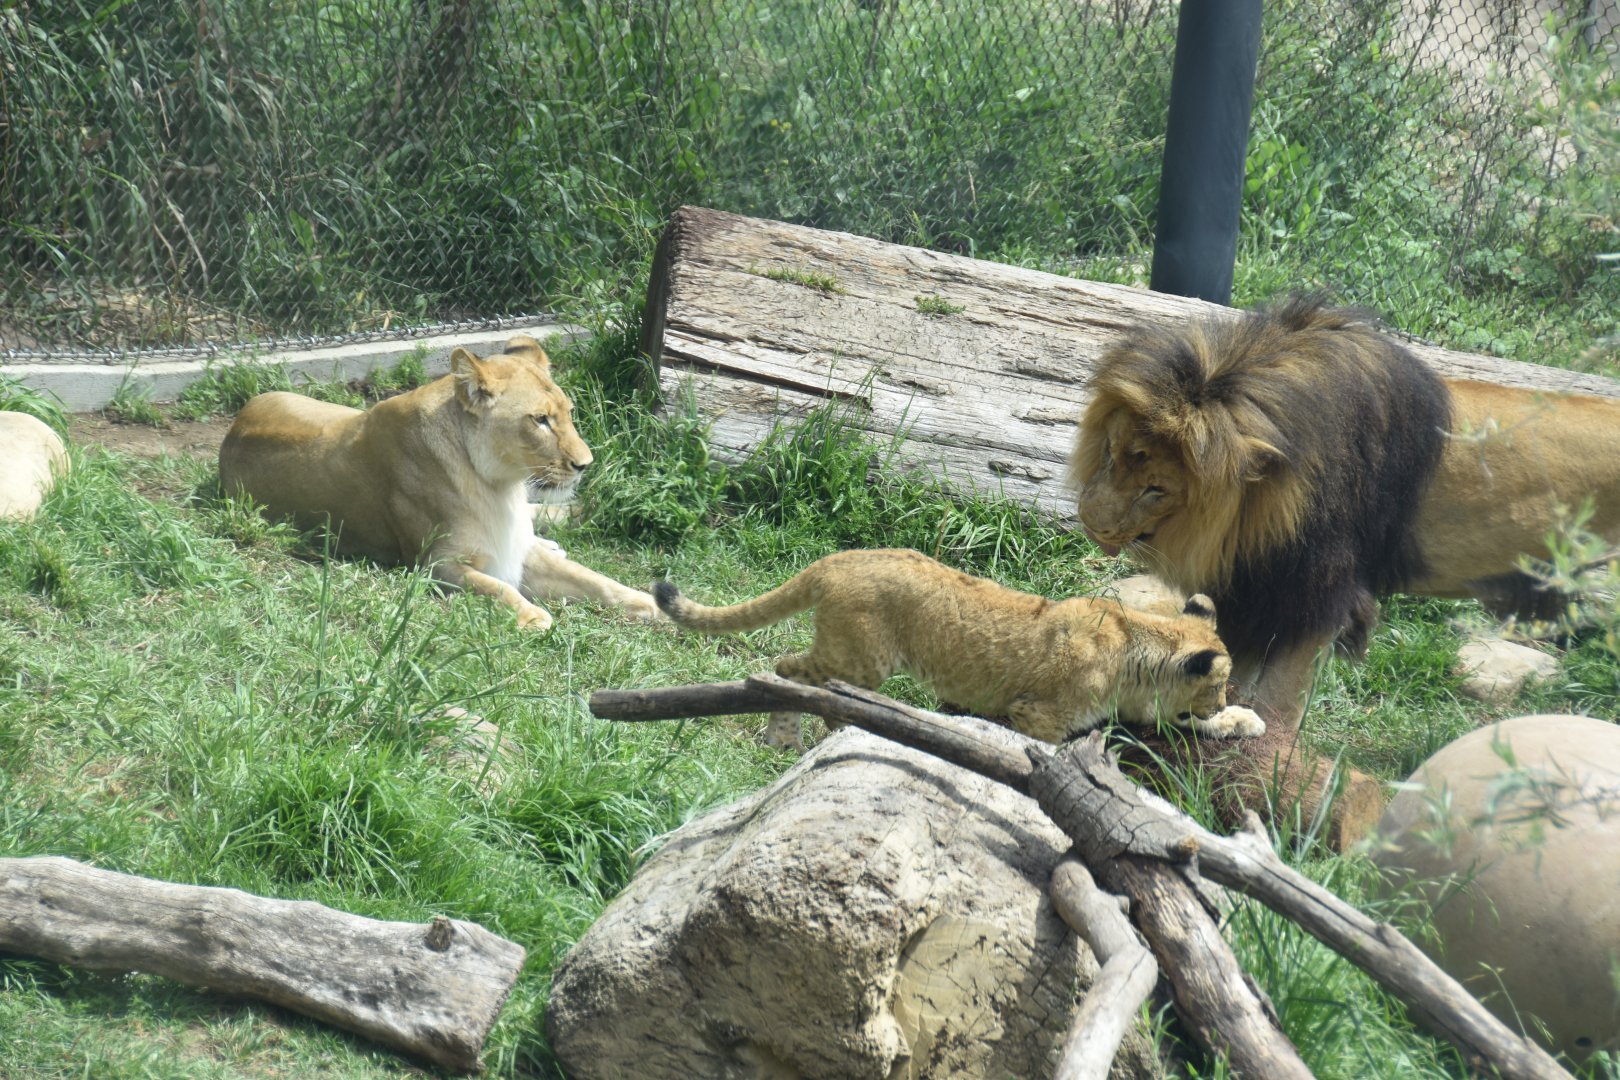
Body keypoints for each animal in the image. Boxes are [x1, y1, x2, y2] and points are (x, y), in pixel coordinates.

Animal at [218, 335, 659, 631]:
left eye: (568, 412)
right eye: (539, 420)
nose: (585, 464)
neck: (499, 485)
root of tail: (235, 426)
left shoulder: (514, 547)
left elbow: (595, 579)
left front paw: (652, 603)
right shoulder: (435, 565)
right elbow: (497, 588)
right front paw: (534, 615)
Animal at [654, 547, 1265, 751]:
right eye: (1217, 683)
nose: (1218, 699)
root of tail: (839, 556)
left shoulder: (1142, 709)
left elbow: (1189, 725)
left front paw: (1242, 721)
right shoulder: (1034, 713)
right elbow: (1048, 754)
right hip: (861, 659)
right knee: (790, 671)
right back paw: (801, 737)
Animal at [1069, 295, 1620, 832]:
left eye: (1156, 489)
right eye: (1111, 453)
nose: (1091, 522)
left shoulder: (1316, 598)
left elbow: (1279, 697)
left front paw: (1271, 763)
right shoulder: (1256, 594)